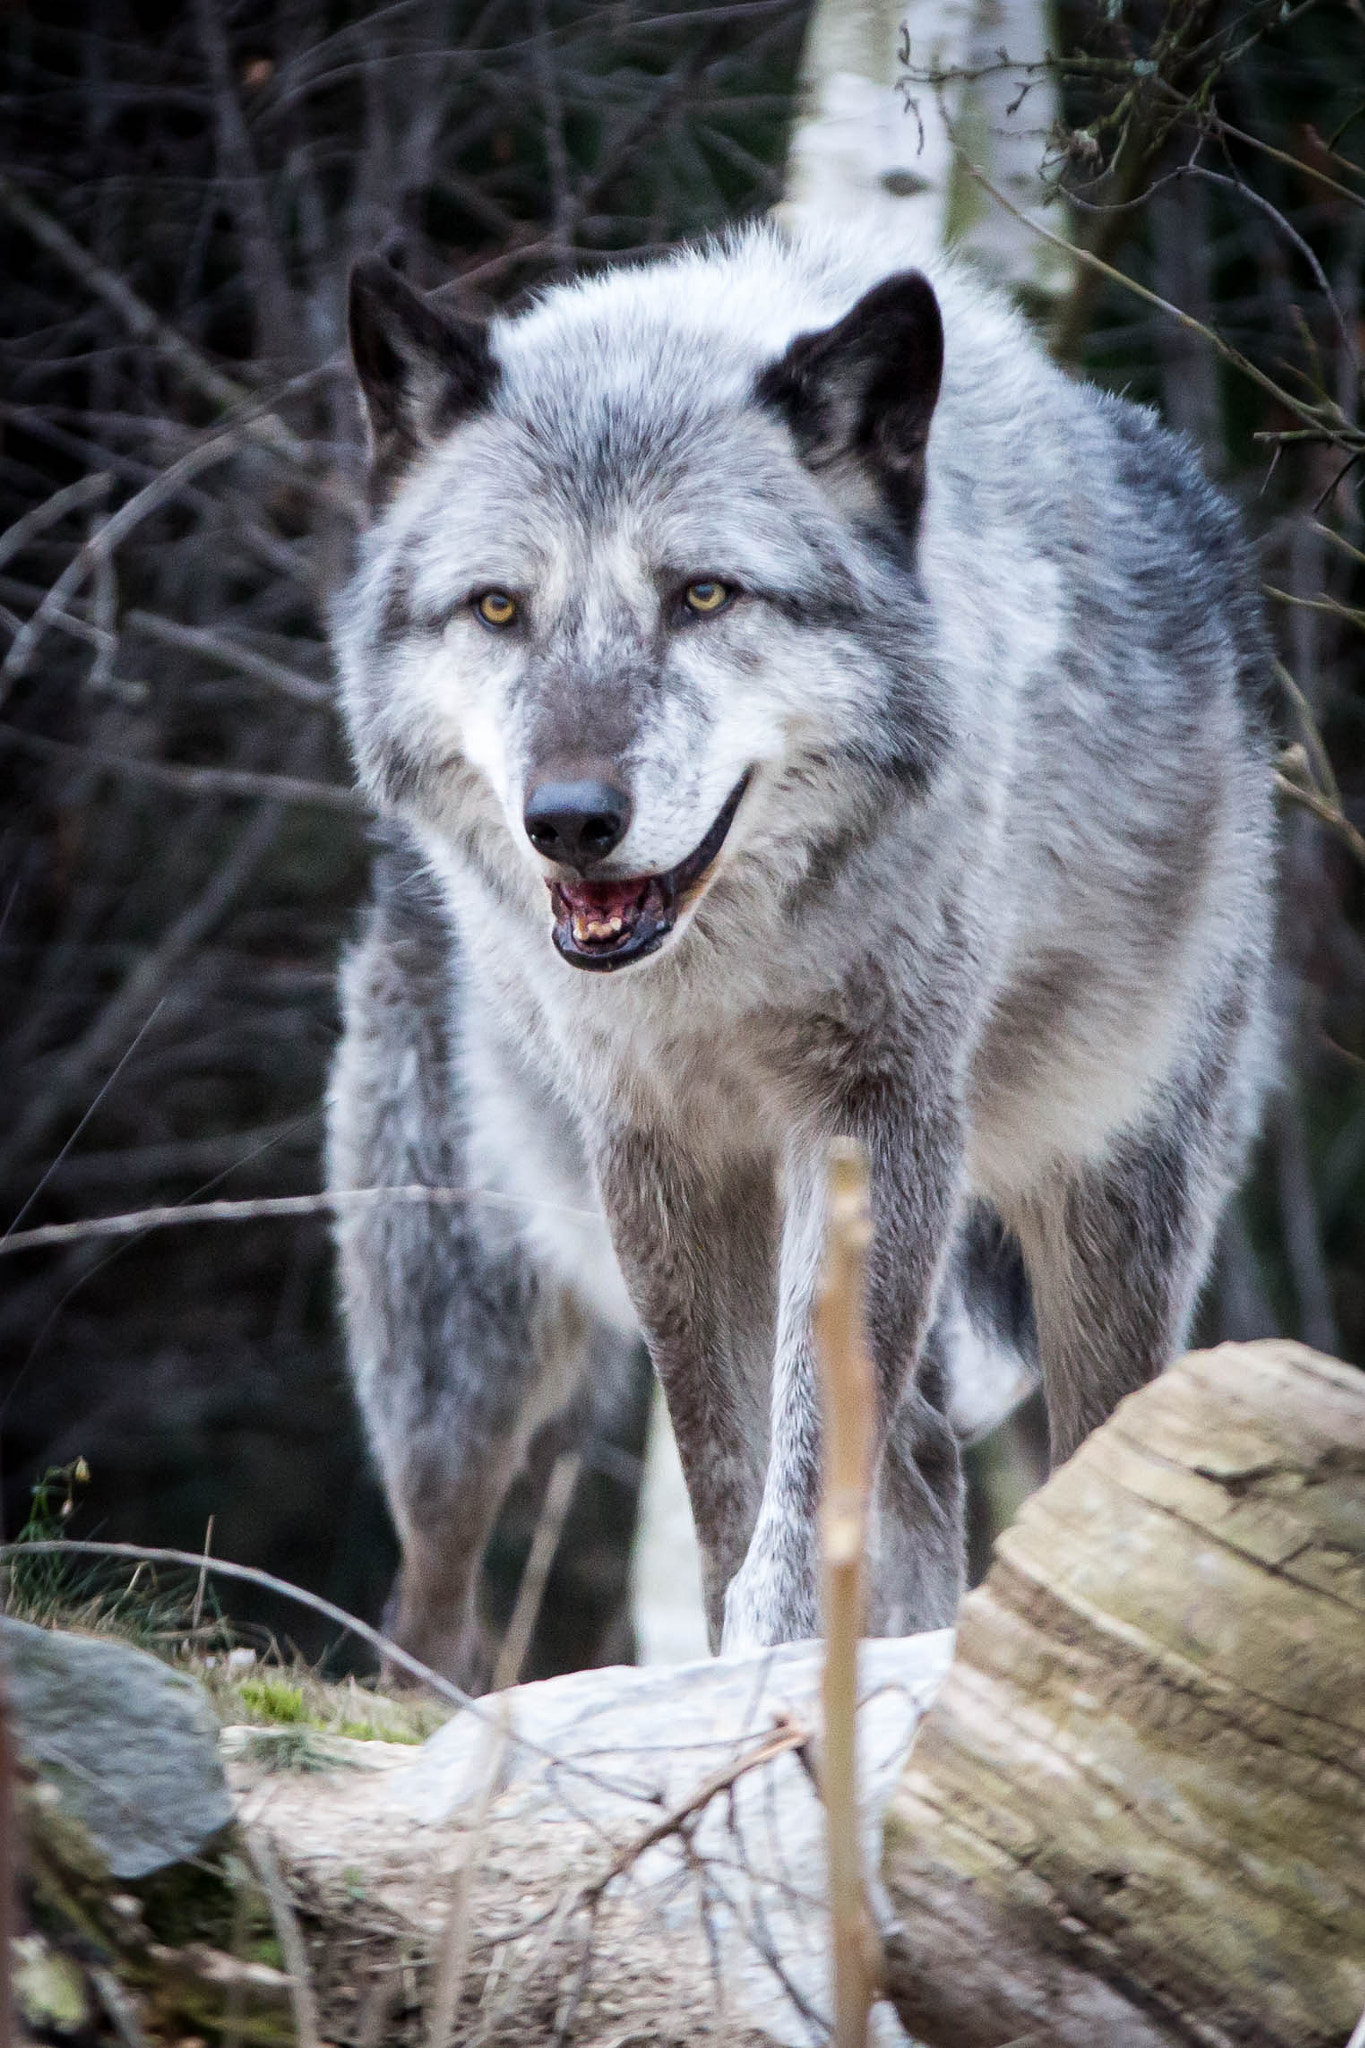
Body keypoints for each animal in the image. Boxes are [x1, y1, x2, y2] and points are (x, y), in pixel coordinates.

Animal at [327, 222, 1274, 1685]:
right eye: (497, 609)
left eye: (703, 595)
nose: (570, 821)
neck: (727, 971)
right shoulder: (661, 1154)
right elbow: (728, 1462)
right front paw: (741, 1674)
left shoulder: (872, 1120)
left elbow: (815, 1456)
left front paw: (769, 1672)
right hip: (453, 1344)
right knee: (434, 1588)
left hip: (1115, 1192)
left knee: (1049, 1441)